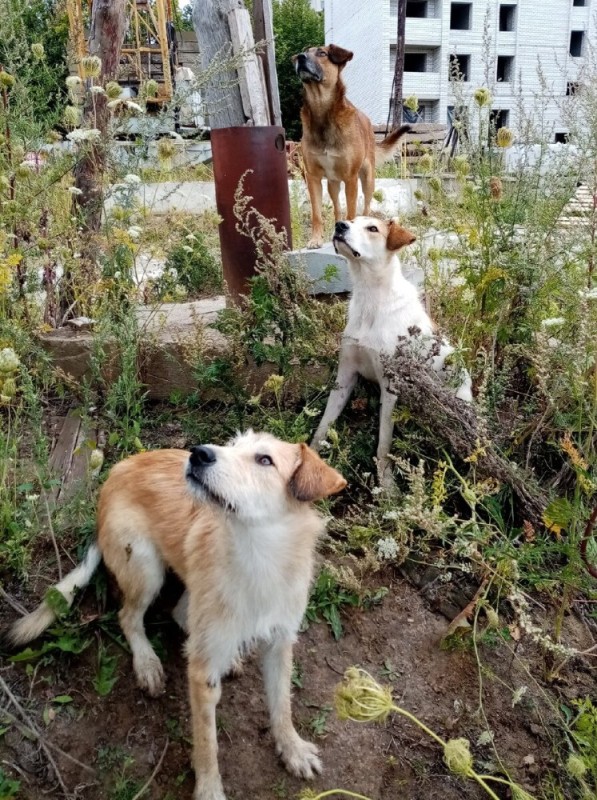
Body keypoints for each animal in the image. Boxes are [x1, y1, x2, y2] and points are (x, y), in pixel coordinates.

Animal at [5, 432, 344, 800]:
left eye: (265, 460)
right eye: (232, 446)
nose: (199, 453)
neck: (257, 555)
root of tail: (114, 475)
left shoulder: (281, 643)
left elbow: (282, 704)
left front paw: (293, 748)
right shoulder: (202, 675)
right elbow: (207, 742)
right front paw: (209, 789)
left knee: (181, 614)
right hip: (145, 566)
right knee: (129, 616)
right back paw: (147, 662)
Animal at [292, 43, 410, 248]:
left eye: (322, 53)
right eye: (304, 51)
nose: (300, 57)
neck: (322, 113)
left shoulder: (351, 178)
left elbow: (352, 212)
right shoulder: (313, 177)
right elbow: (317, 213)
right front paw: (316, 239)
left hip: (367, 180)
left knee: (366, 207)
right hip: (332, 184)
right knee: (337, 209)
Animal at [310, 212, 472, 484]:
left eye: (373, 228)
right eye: (351, 221)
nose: (339, 225)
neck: (371, 299)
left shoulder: (390, 386)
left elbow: (383, 444)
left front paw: (386, 483)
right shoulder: (344, 376)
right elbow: (323, 426)